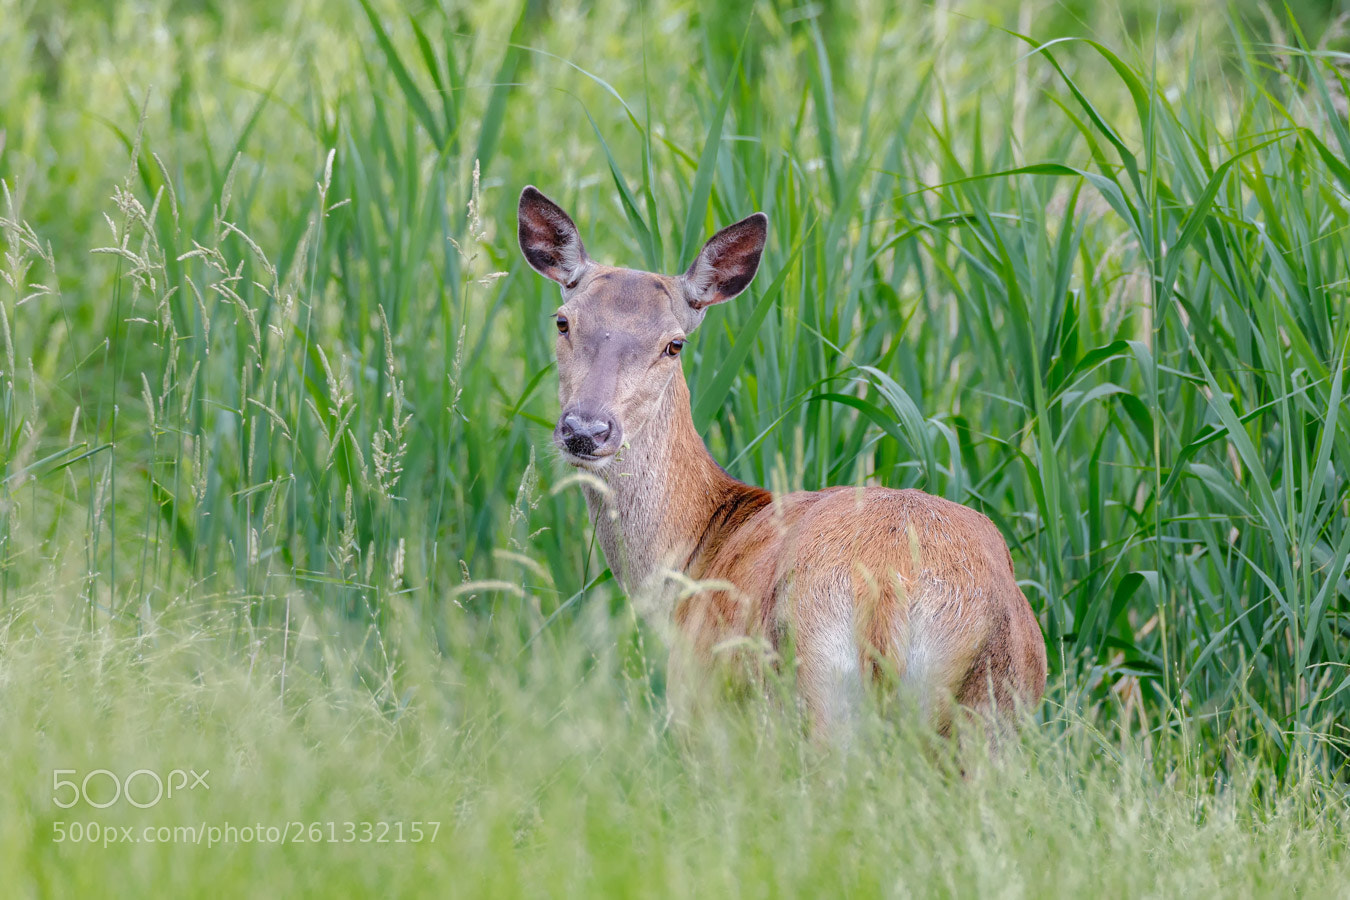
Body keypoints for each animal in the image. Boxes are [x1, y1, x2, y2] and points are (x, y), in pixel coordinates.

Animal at [518, 185, 1047, 743]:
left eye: (674, 344)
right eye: (563, 321)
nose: (585, 429)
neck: (696, 554)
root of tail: (888, 593)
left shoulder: (698, 709)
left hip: (810, 699)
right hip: (997, 715)